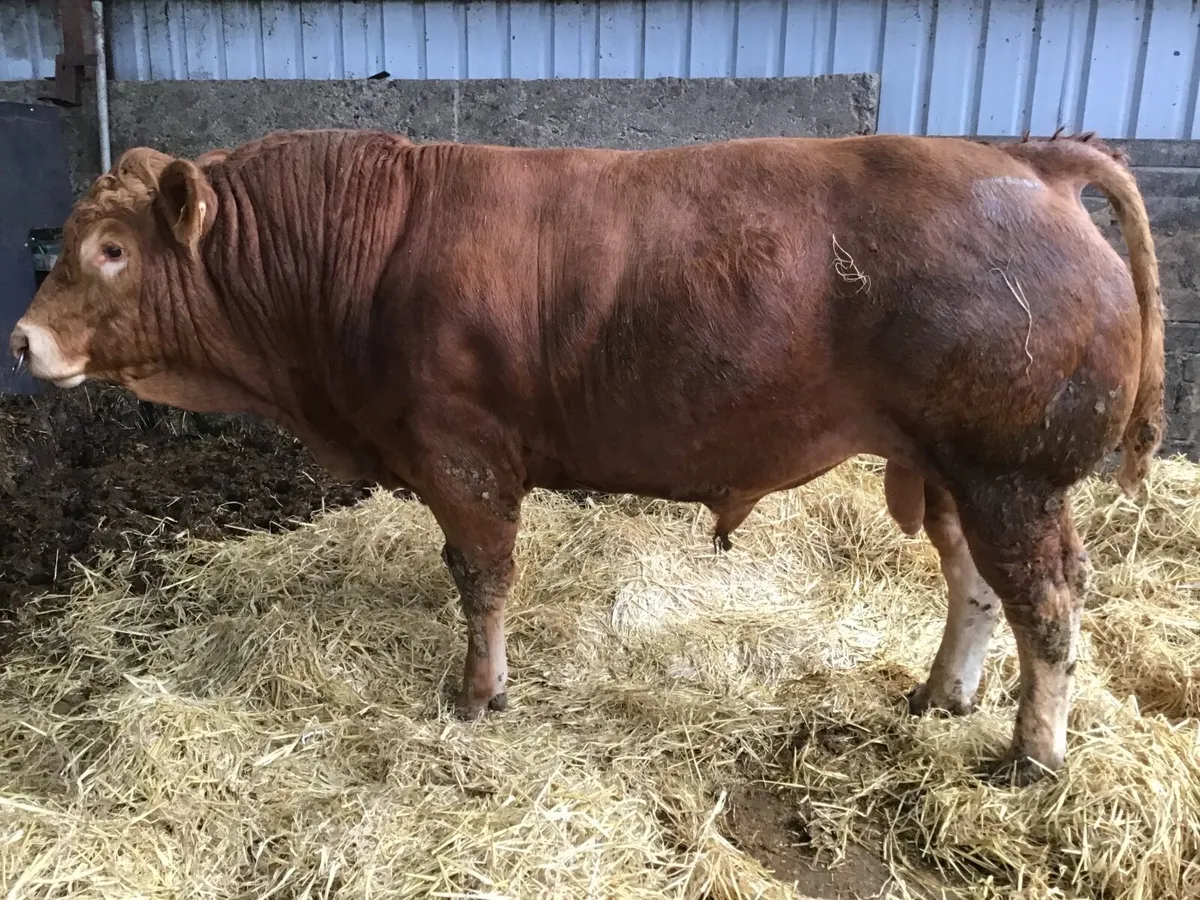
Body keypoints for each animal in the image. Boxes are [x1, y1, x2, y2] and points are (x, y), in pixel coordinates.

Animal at [9, 128, 1164, 786]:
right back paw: (942, 696)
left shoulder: (460, 451)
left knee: (1050, 600)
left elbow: (481, 573)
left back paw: (1032, 754)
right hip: (956, 469)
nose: (21, 340)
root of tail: (1031, 159)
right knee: (975, 582)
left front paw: (477, 693)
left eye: (110, 249)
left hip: (1014, 471)